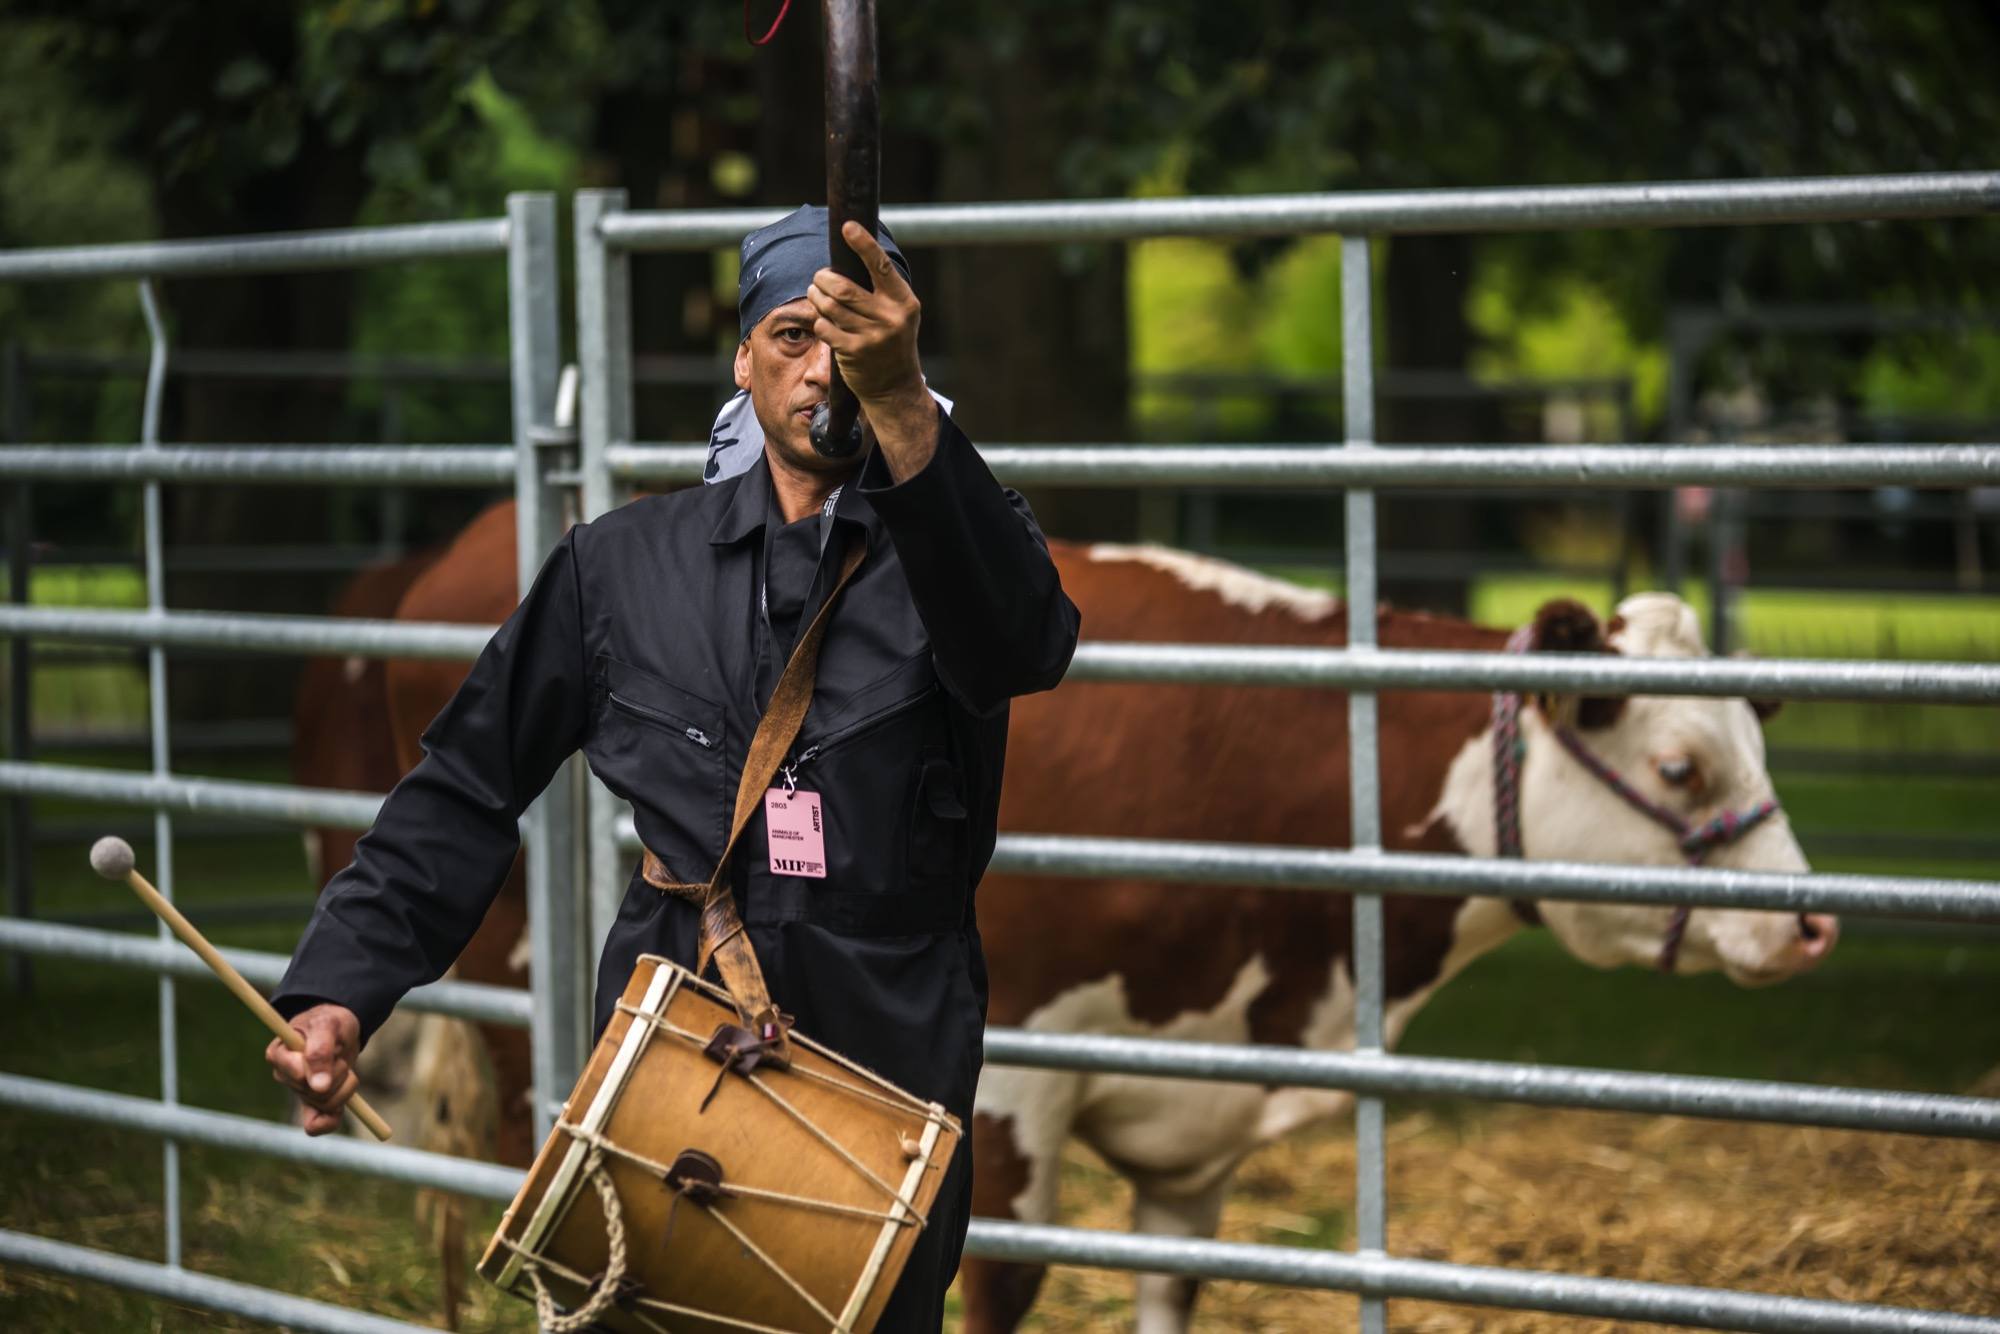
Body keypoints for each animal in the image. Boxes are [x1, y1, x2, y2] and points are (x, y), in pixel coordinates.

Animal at [290, 508, 1832, 1334]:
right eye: (1682, 766)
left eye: (1755, 738)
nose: (1811, 925)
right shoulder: (1014, 1088)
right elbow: (998, 1283)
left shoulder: (1197, 1132)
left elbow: (1175, 1289)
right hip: (506, 972)